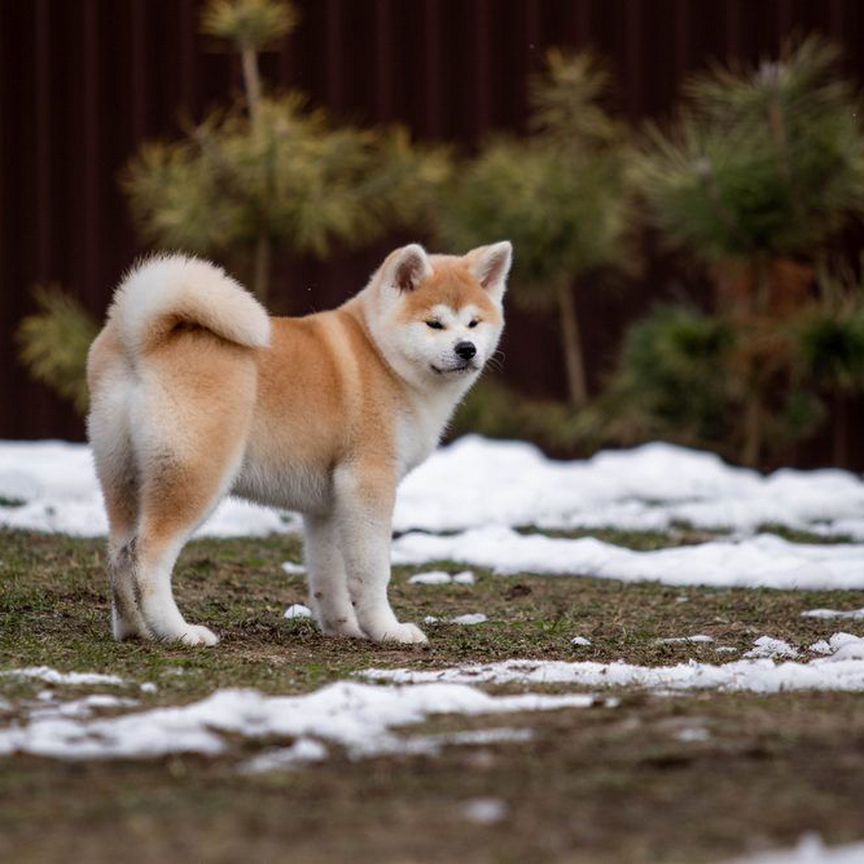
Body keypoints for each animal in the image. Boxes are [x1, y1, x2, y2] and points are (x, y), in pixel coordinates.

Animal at [85, 240, 510, 644]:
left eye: (474, 322)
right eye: (434, 323)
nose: (467, 349)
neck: (380, 355)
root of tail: (141, 337)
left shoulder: (328, 506)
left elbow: (328, 578)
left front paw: (344, 628)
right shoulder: (367, 481)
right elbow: (372, 571)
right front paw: (388, 630)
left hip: (122, 478)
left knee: (118, 555)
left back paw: (133, 630)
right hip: (195, 476)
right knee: (146, 557)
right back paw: (178, 632)